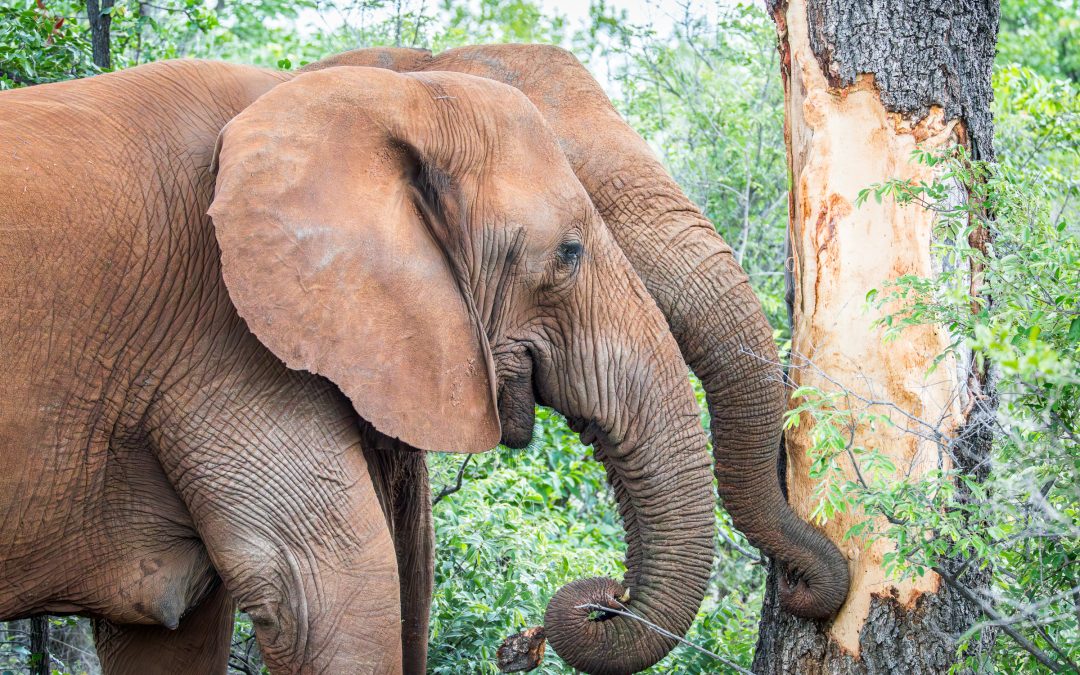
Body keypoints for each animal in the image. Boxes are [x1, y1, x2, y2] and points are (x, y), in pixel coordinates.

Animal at [0, 58, 716, 675]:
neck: (392, 97)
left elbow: (174, 631)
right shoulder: (223, 335)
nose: (607, 600)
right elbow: (326, 596)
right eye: (568, 254)